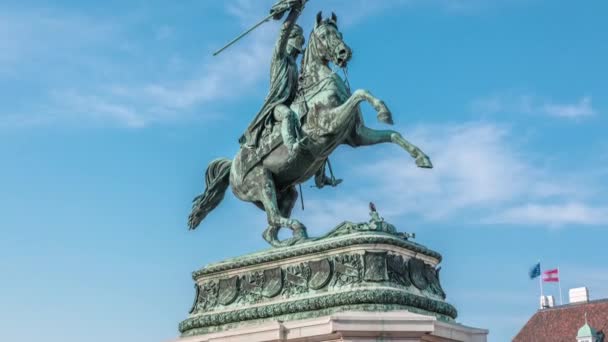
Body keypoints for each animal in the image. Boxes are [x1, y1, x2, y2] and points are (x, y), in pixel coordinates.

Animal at [190, 12, 432, 247]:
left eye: (339, 33)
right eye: (324, 35)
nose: (344, 52)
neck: (318, 84)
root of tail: (232, 167)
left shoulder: (356, 136)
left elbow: (393, 134)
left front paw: (421, 157)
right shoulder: (330, 124)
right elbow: (360, 93)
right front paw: (383, 111)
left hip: (287, 194)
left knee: (270, 230)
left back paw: (301, 240)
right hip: (261, 182)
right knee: (273, 218)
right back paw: (302, 230)